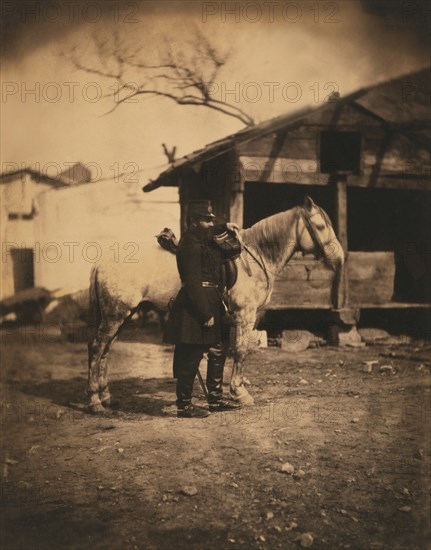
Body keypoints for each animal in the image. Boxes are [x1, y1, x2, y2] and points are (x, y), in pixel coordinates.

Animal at [87, 197, 344, 414]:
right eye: (320, 226)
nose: (340, 258)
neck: (257, 257)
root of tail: (102, 263)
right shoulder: (244, 316)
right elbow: (240, 351)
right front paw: (240, 393)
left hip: (123, 315)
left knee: (106, 350)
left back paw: (107, 397)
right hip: (116, 315)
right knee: (97, 348)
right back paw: (95, 402)